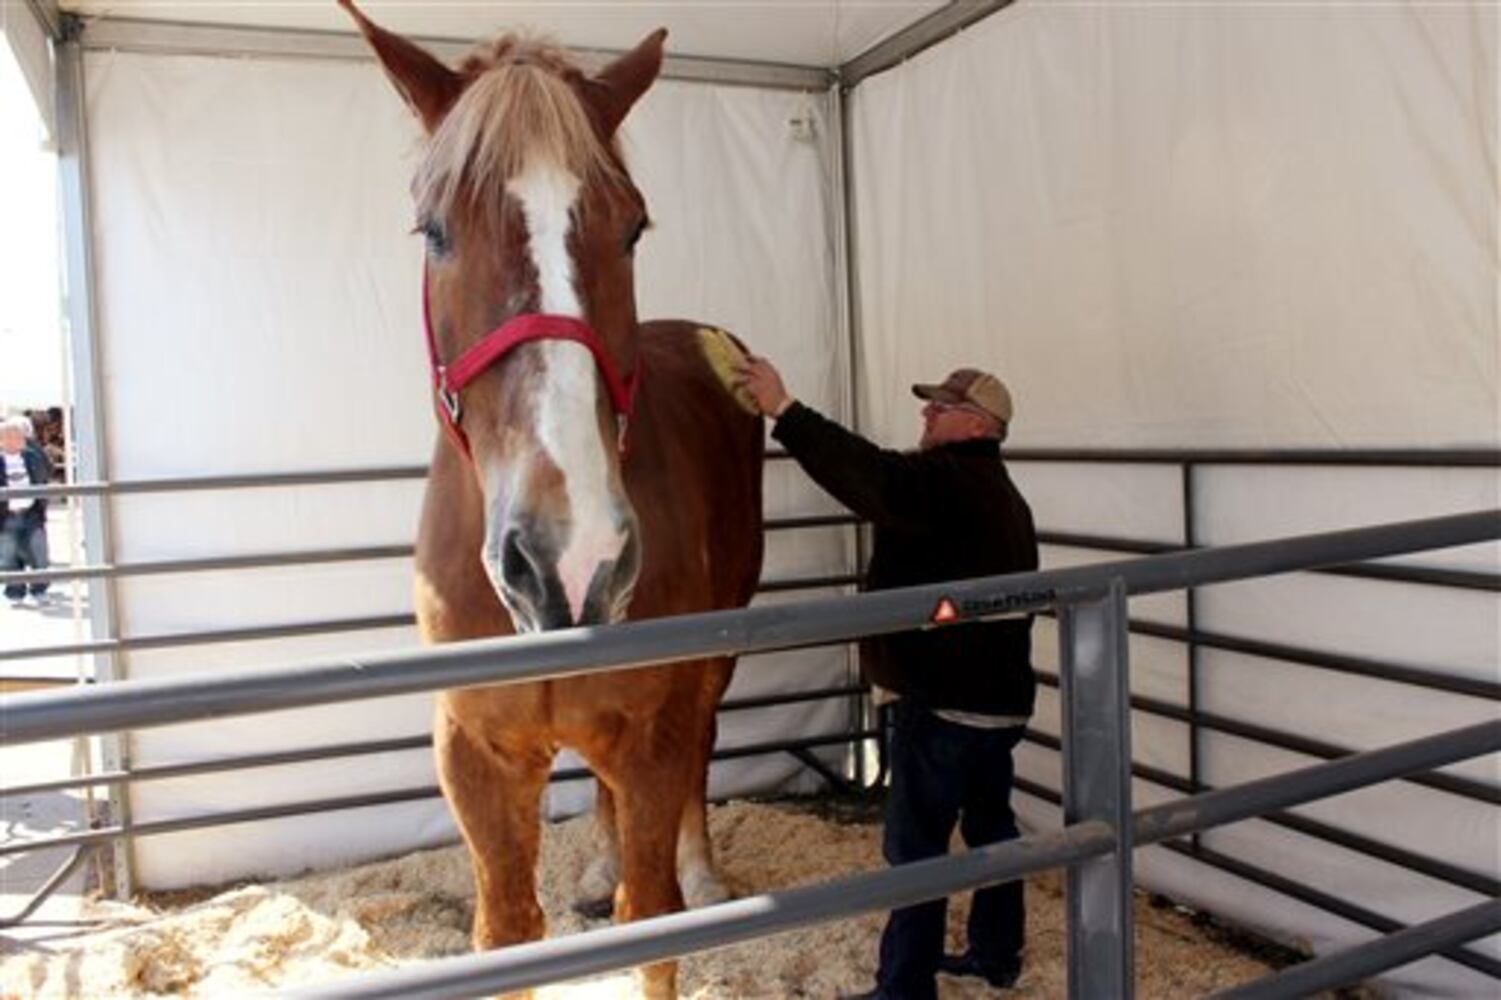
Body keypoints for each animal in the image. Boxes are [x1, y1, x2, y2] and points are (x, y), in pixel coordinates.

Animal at [340, 3, 762, 990]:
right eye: (434, 230)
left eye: (633, 227)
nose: (573, 561)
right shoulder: (477, 758)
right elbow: (506, 936)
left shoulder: (653, 735)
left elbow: (652, 924)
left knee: (703, 747)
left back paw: (703, 869)